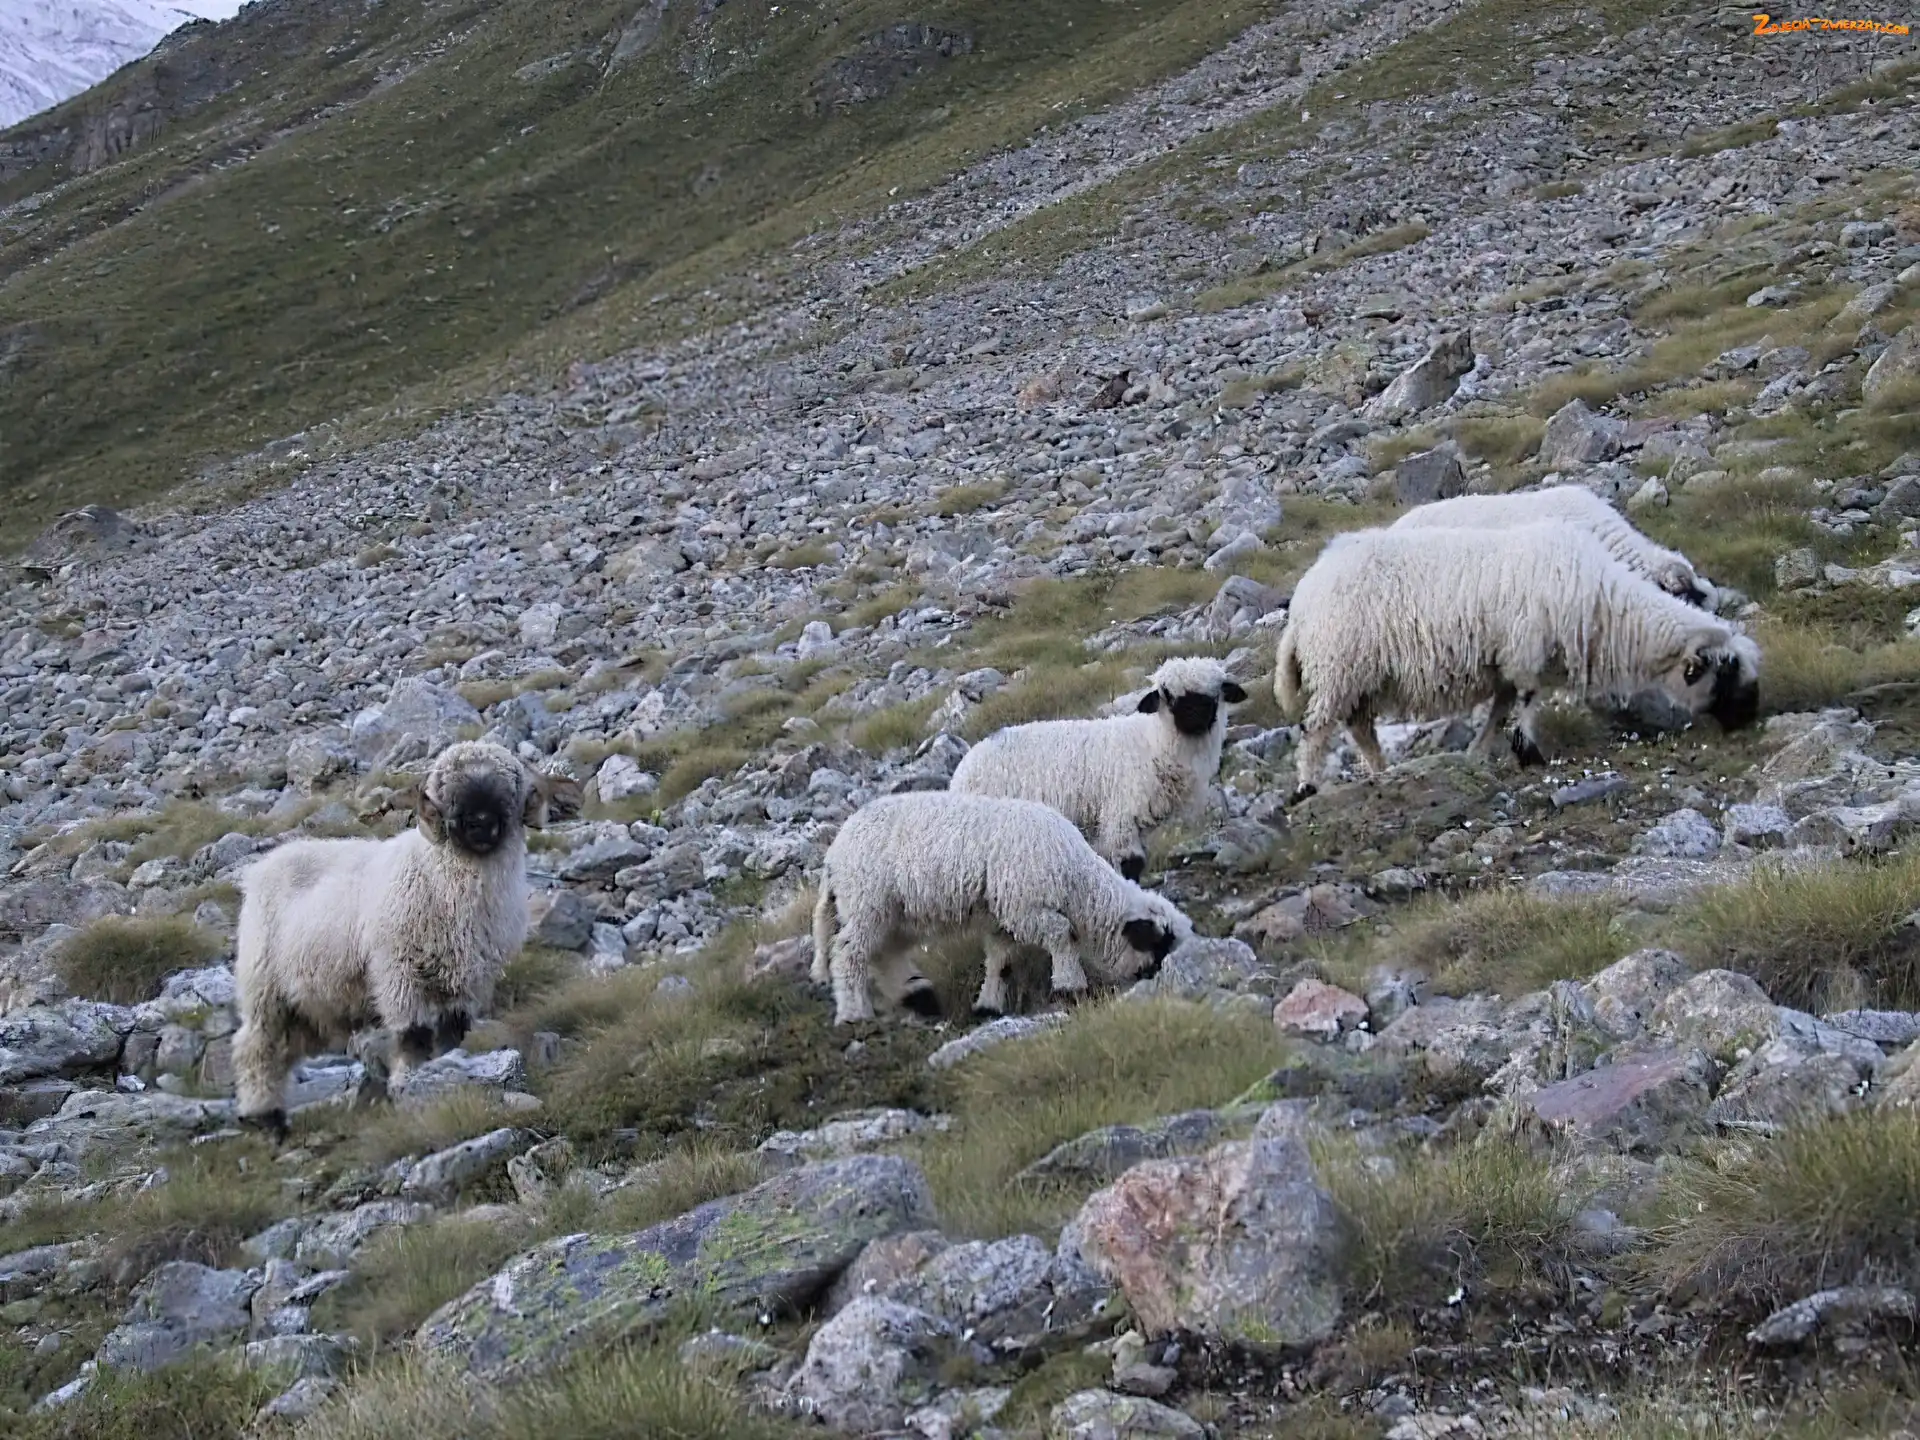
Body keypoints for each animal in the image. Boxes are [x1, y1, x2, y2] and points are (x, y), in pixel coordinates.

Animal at [232, 741, 582, 1139]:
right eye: (447, 791)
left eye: (510, 789)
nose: (480, 822)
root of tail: (260, 868)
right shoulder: (398, 972)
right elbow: (413, 1035)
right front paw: (407, 1084)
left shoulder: (466, 981)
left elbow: (452, 1035)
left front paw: (444, 1073)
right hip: (263, 984)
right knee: (257, 1046)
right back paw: (264, 1118)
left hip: (309, 1002)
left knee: (283, 1048)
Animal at [808, 791, 1192, 1026]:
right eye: (1157, 944)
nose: (1158, 980)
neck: (1074, 878)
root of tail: (833, 856)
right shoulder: (1024, 906)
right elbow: (1062, 934)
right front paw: (1070, 985)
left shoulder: (1003, 918)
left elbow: (1001, 960)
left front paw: (989, 1004)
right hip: (868, 901)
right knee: (848, 952)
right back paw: (854, 1012)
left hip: (895, 914)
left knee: (884, 954)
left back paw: (917, 995)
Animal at [946, 656, 1248, 881]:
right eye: (1168, 695)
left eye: (1215, 694)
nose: (1195, 717)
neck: (1151, 744)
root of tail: (963, 767)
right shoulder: (1120, 815)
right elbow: (1130, 865)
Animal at [1273, 522, 1760, 801]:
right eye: (1727, 672)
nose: (1750, 721)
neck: (1605, 607)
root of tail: (1302, 600)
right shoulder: (1525, 649)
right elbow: (1525, 700)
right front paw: (1529, 753)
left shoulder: (1505, 660)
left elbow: (1502, 706)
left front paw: (1482, 751)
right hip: (1339, 665)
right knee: (1316, 729)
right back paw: (1306, 785)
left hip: (1360, 676)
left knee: (1359, 728)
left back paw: (1381, 772)